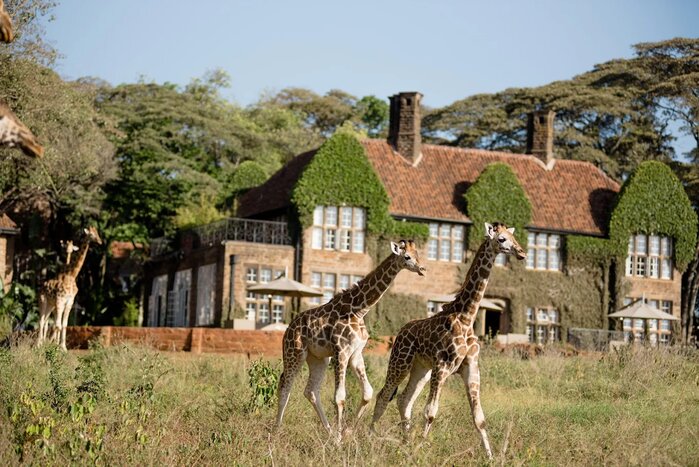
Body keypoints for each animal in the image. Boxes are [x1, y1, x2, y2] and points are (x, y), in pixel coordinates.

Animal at [276, 240, 426, 436]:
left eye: (418, 254)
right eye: (407, 257)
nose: (423, 268)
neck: (359, 309)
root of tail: (288, 329)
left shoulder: (355, 353)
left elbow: (368, 393)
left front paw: (347, 431)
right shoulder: (341, 351)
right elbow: (339, 397)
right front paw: (341, 437)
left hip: (319, 359)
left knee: (311, 391)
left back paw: (329, 432)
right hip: (294, 352)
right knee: (285, 386)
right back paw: (275, 432)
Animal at [371, 223, 525, 459]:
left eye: (512, 236)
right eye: (501, 239)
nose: (522, 253)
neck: (467, 317)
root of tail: (400, 333)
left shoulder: (471, 367)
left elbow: (479, 418)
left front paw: (491, 457)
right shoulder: (442, 366)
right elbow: (430, 412)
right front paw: (421, 450)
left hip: (421, 369)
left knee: (404, 400)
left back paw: (405, 443)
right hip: (400, 363)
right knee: (383, 395)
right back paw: (369, 436)